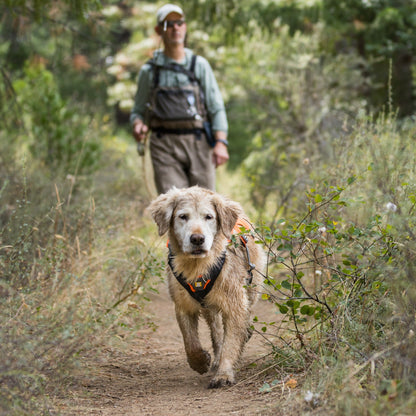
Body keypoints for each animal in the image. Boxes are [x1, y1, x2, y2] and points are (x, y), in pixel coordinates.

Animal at [148, 187, 266, 388]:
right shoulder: (183, 304)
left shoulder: (235, 303)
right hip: (210, 308)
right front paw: (201, 361)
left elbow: (231, 342)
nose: (197, 239)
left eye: (209, 217)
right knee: (216, 331)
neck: (198, 266)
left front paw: (224, 374)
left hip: (252, 285)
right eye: (183, 216)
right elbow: (190, 342)